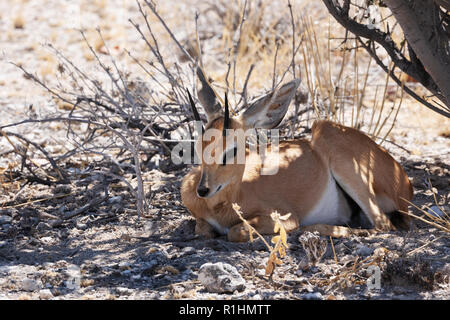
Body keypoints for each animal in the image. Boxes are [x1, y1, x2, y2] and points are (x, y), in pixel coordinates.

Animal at [181, 68, 414, 242]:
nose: (203, 189)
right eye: (198, 147)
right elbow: (202, 229)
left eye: (232, 150)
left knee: (383, 225)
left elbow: (235, 230)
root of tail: (405, 182)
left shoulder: (285, 216)